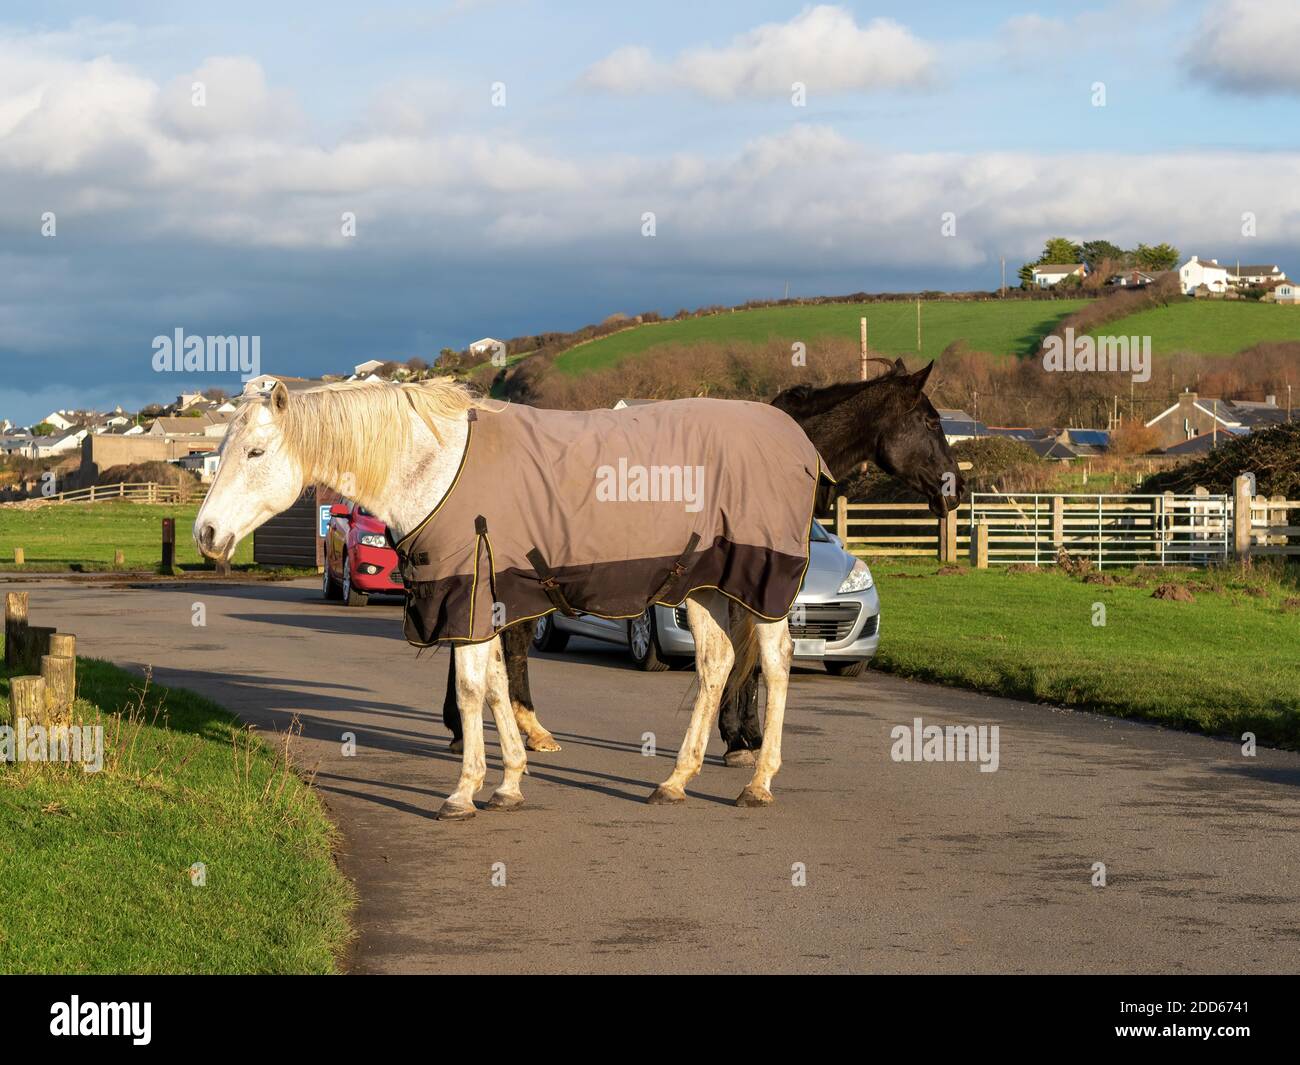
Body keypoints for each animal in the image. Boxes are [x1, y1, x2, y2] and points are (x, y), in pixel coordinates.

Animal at [194, 378, 832, 819]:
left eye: (254, 452)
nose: (206, 533)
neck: (436, 469)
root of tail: (799, 441)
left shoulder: (469, 600)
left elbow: (472, 690)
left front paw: (464, 792)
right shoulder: (491, 604)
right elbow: (501, 685)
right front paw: (508, 783)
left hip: (763, 581)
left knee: (775, 665)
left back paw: (758, 782)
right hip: (700, 585)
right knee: (716, 664)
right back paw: (675, 781)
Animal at [441, 357, 965, 759]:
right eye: (929, 421)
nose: (956, 487)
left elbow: (747, 659)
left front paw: (743, 735)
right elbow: (747, 663)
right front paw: (742, 739)